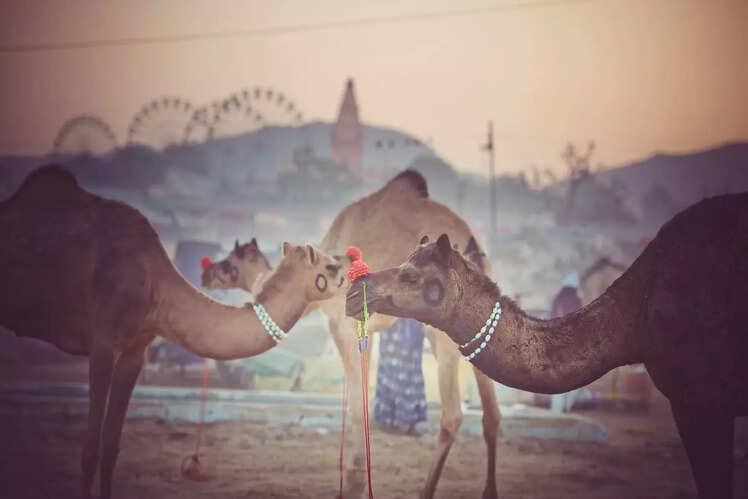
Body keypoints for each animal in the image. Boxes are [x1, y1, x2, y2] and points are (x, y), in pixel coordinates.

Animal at [0, 164, 347, 499]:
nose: (353, 272)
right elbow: (89, 452)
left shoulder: (135, 351)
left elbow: (111, 448)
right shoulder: (102, 346)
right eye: (331, 267)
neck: (152, 285)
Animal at [204, 171, 502, 499]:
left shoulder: (344, 326)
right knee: (492, 414)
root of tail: (473, 249)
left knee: (452, 417)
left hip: (445, 332)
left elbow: (357, 406)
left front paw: (354, 482)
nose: (206, 272)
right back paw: (490, 491)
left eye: (230, 262)